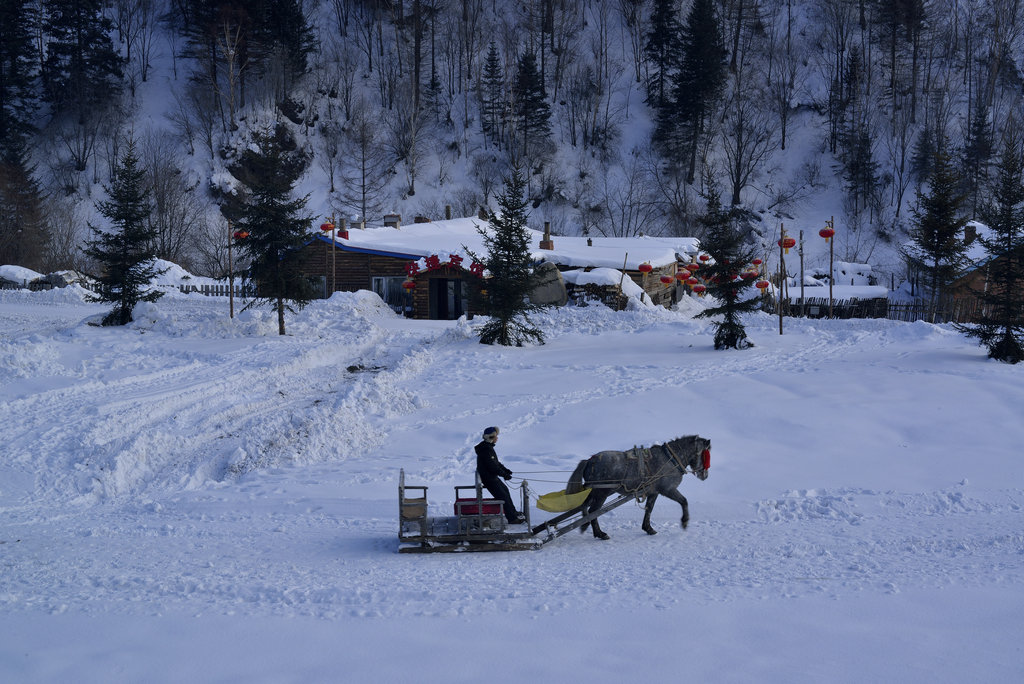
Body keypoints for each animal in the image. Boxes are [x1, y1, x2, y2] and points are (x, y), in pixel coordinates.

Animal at [561, 438, 712, 540]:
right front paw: (685, 521)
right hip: (601, 493)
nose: (705, 475)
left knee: (585, 507)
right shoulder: (668, 490)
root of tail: (589, 460)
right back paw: (600, 533)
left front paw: (648, 528)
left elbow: (649, 509)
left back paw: (588, 527)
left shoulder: (653, 492)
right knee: (593, 511)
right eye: (706, 454)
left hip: (595, 492)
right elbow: (684, 501)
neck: (670, 459)